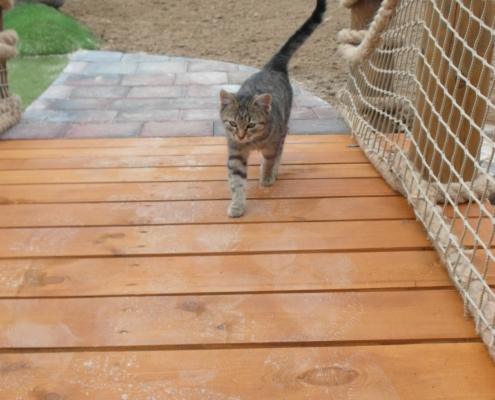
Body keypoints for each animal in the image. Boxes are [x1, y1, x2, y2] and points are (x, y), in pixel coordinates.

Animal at [219, 0, 327, 217]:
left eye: (251, 125)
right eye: (233, 124)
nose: (241, 135)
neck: (252, 142)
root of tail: (272, 66)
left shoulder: (272, 143)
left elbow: (270, 159)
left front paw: (267, 177)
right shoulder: (235, 152)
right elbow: (236, 181)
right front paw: (237, 205)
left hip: (284, 126)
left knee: (280, 151)